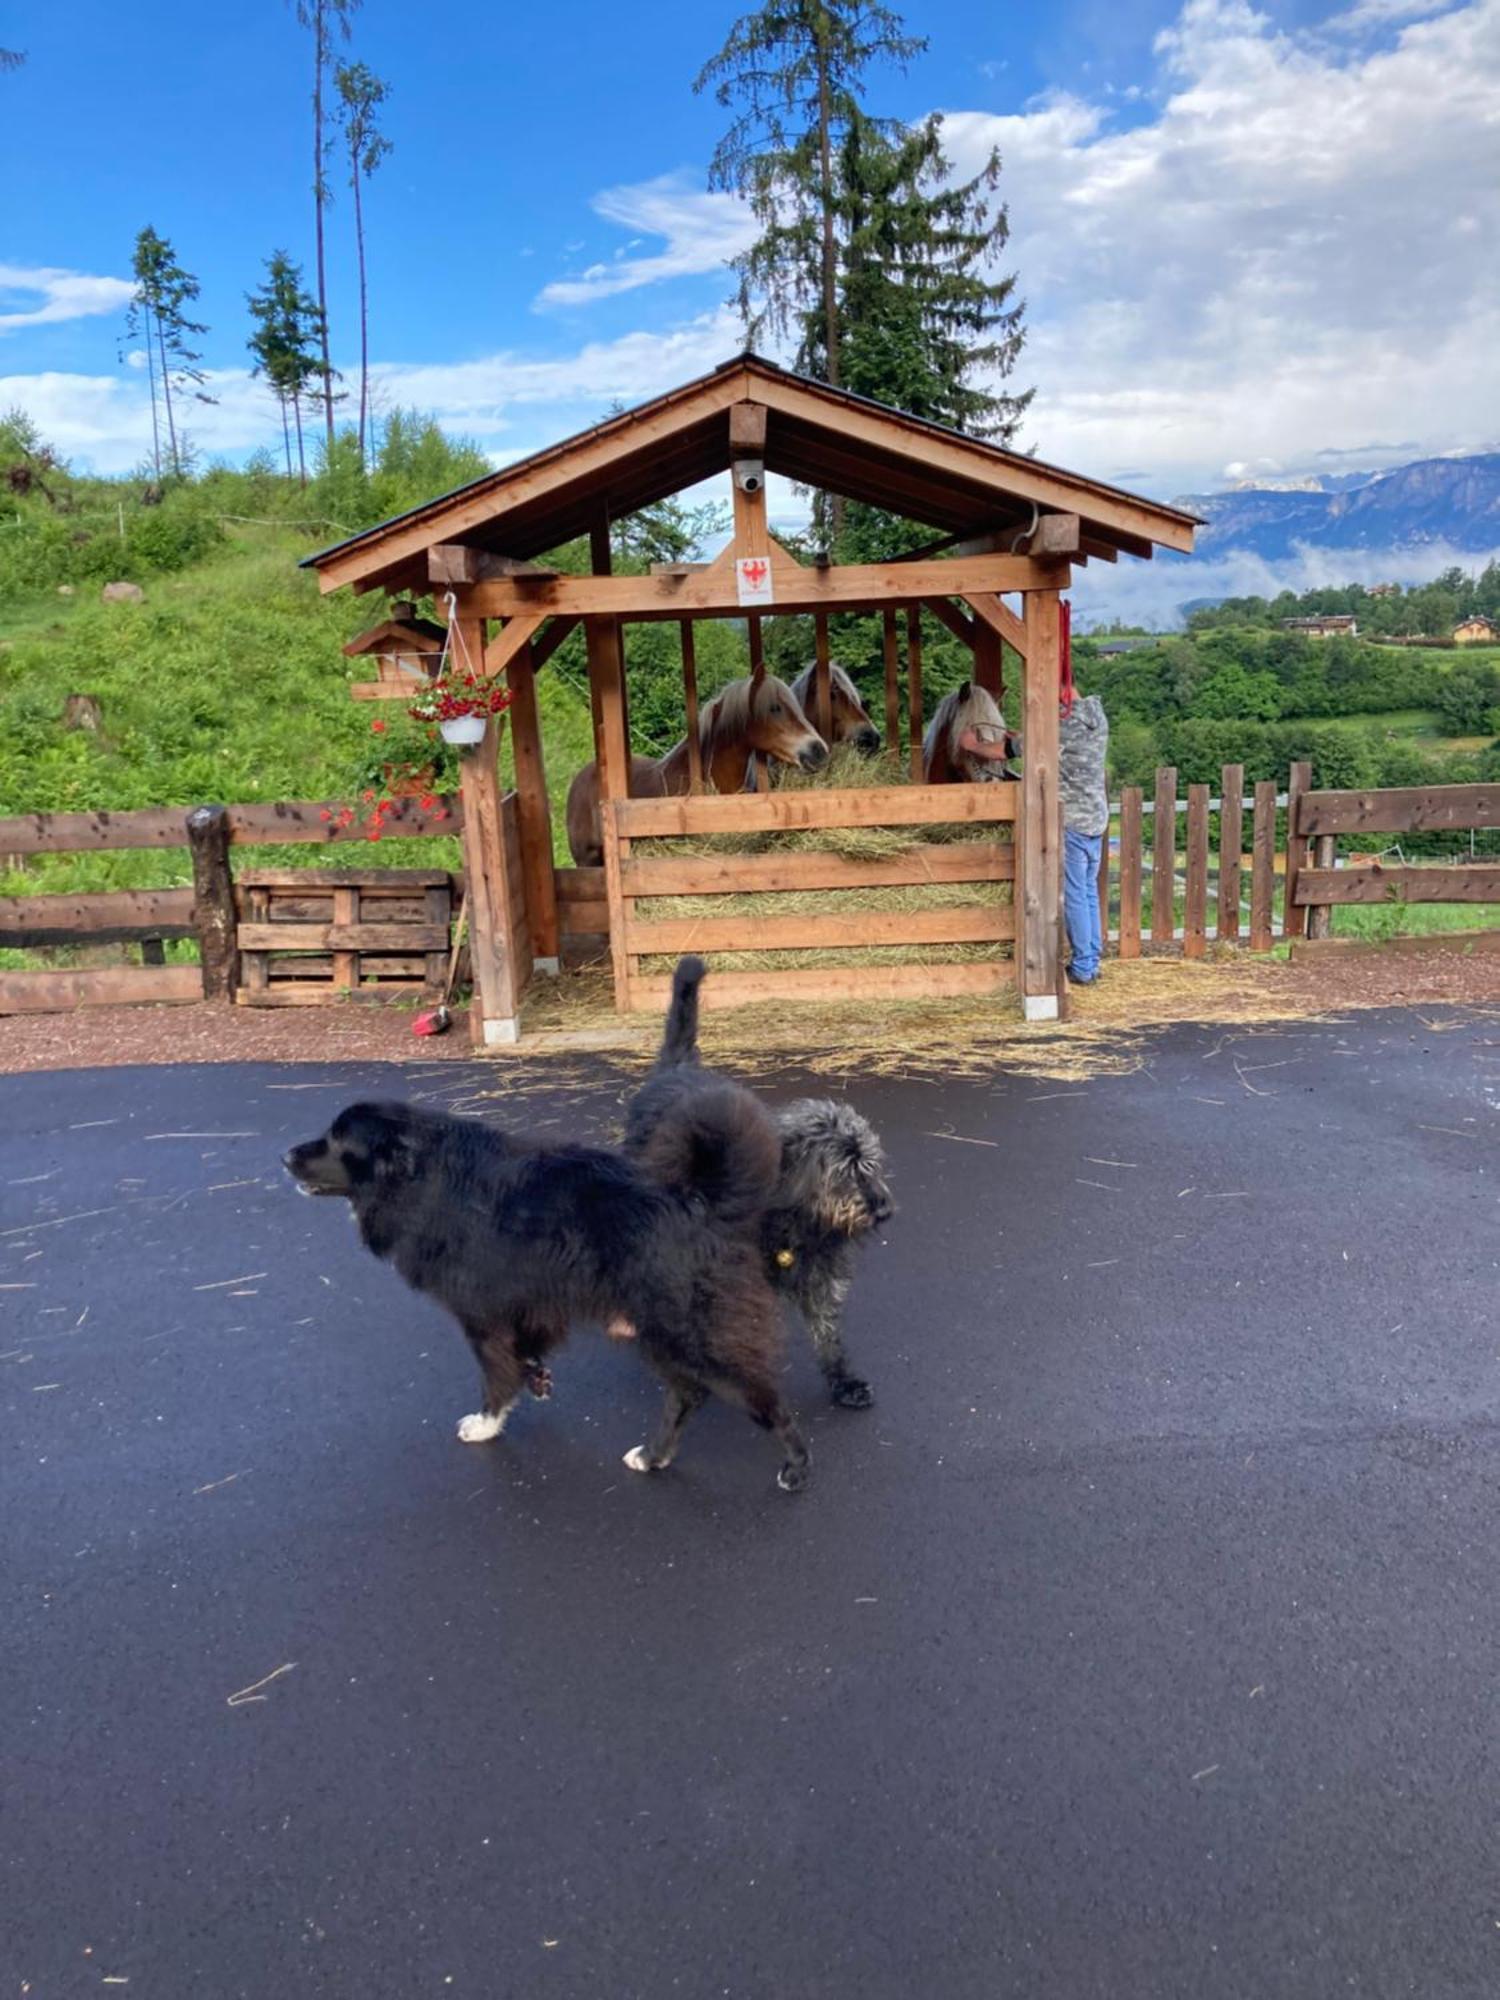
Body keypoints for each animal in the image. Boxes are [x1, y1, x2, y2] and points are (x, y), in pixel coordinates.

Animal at [288, 1104, 816, 1496]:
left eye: (337, 1141)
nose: (285, 1156)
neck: (421, 1176)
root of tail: (699, 1204)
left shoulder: (481, 1317)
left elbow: (496, 1377)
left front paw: (487, 1423)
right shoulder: (529, 1303)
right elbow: (525, 1351)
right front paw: (536, 1375)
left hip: (686, 1335)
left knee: (756, 1397)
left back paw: (795, 1465)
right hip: (659, 1333)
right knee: (687, 1395)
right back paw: (654, 1457)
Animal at [624, 960, 892, 1416]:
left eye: (870, 1166)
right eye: (842, 1171)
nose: (883, 1209)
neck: (786, 1219)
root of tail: (677, 1070)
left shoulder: (820, 1277)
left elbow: (828, 1334)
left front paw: (844, 1382)